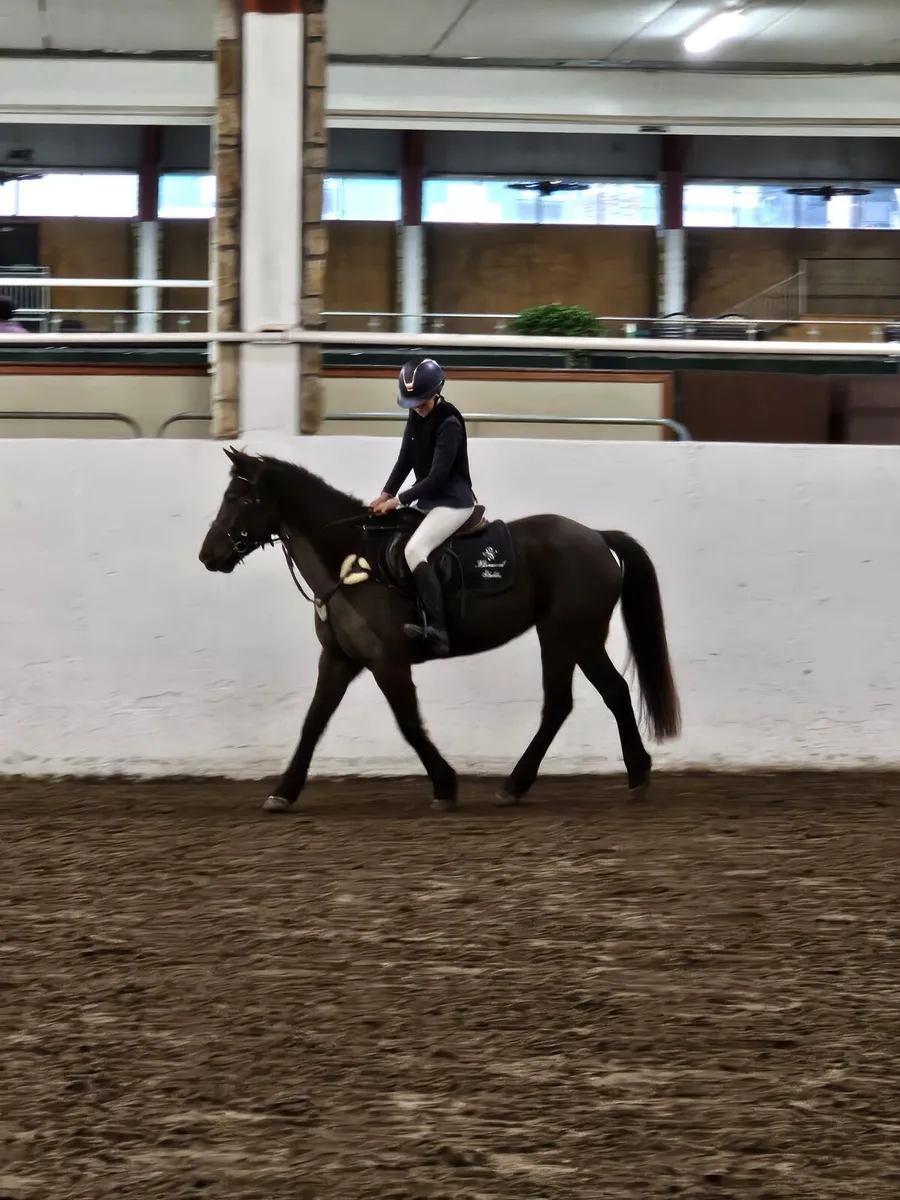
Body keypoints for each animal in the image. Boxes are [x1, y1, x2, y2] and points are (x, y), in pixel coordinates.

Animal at [198, 446, 681, 812]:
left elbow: (409, 724)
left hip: (560, 635)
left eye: (239, 498)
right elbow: (313, 722)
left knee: (559, 704)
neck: (349, 559)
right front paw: (283, 792)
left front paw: (445, 786)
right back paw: (637, 774)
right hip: (583, 638)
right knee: (615, 691)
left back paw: (515, 784)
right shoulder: (339, 659)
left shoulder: (388, 662)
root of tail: (596, 536)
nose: (208, 555)